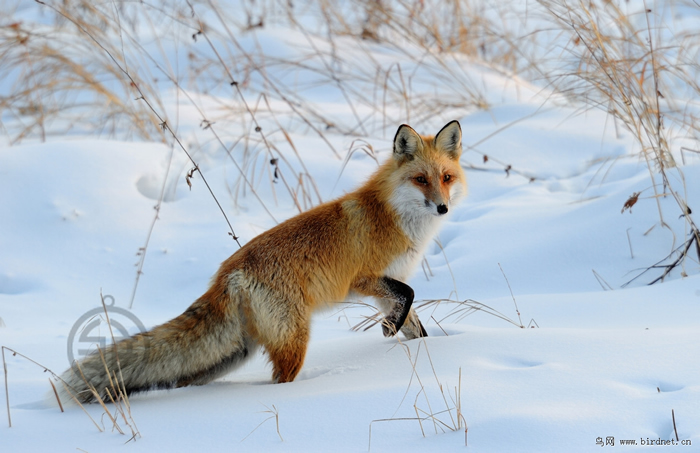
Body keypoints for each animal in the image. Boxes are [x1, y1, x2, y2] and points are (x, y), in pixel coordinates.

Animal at [58, 120, 464, 402]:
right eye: (420, 179)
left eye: (446, 178)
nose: (443, 207)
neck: (395, 216)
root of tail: (227, 271)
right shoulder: (363, 280)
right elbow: (409, 294)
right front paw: (388, 331)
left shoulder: (383, 290)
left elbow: (414, 322)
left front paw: (417, 346)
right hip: (293, 339)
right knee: (280, 381)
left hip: (239, 350)